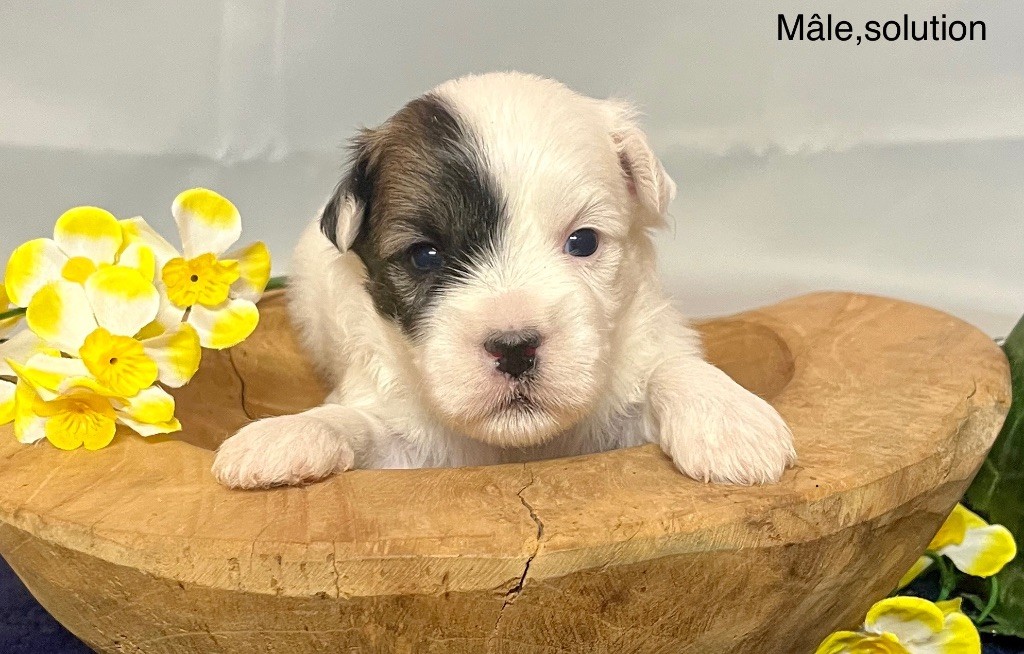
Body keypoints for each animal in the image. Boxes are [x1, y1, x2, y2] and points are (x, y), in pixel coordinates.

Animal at [211, 72, 794, 491]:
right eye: (424, 256)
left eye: (584, 242)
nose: (515, 348)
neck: (517, 445)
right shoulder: (406, 437)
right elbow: (358, 424)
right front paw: (286, 436)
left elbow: (669, 369)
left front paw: (729, 421)